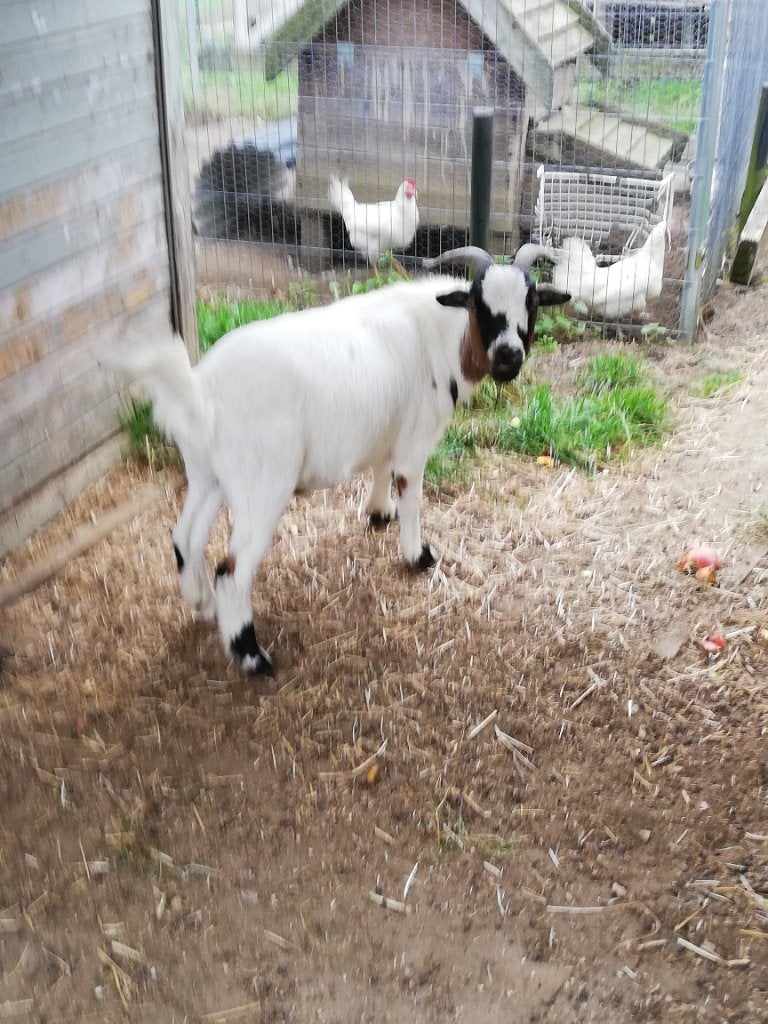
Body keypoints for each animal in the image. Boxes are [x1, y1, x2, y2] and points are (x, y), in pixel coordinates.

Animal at [121, 246, 569, 675]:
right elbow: (410, 493)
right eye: (479, 304)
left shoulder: (389, 427)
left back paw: (204, 606)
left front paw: (379, 512)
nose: (508, 356)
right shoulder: (416, 437)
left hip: (207, 472)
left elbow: (381, 467)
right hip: (261, 484)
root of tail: (200, 394)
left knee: (185, 538)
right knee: (231, 572)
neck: (438, 335)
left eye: (531, 302)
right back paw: (251, 657)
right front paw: (418, 555)